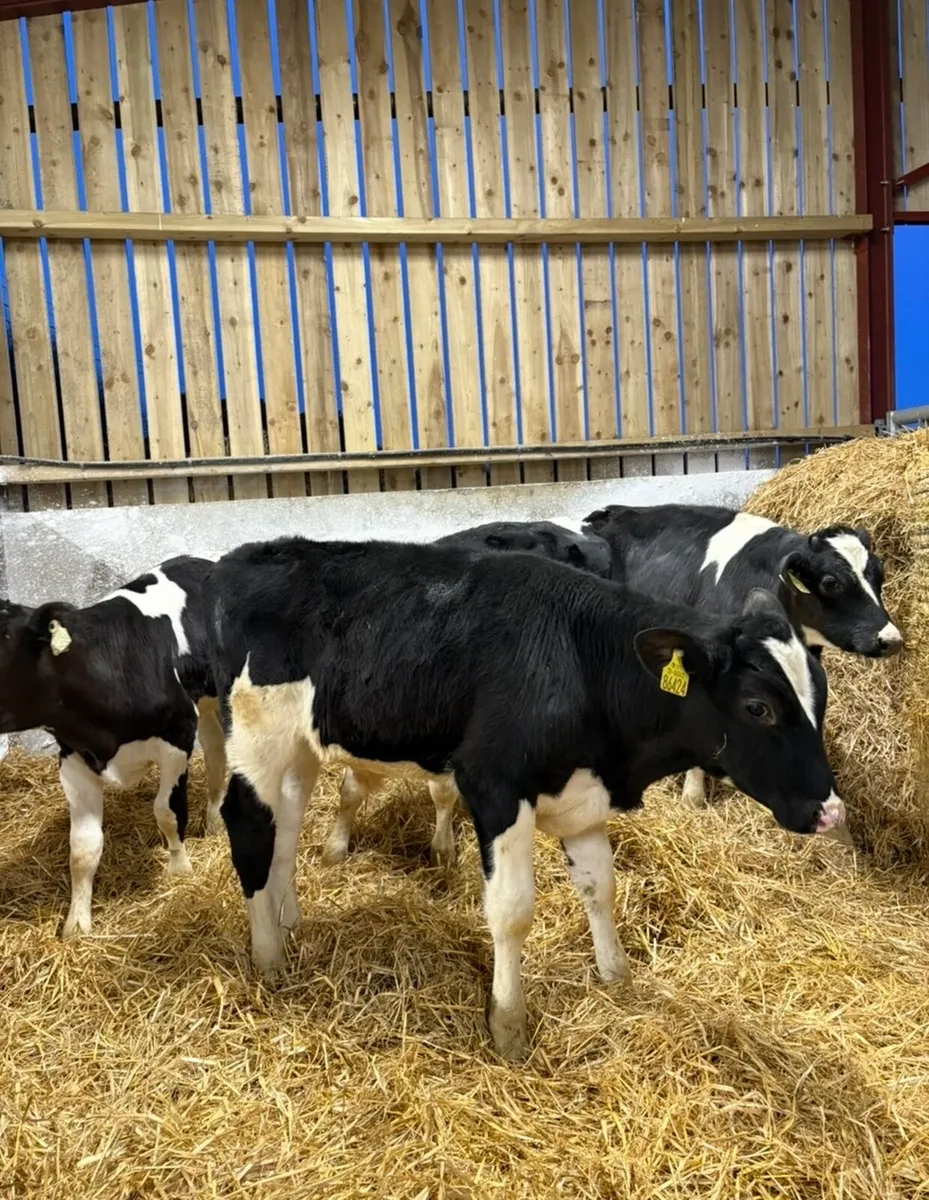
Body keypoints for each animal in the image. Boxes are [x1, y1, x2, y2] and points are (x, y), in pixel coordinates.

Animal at [0, 556, 226, 937]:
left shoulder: (177, 739)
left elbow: (167, 812)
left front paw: (180, 871)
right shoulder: (74, 759)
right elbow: (83, 848)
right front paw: (77, 923)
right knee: (215, 752)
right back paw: (213, 821)